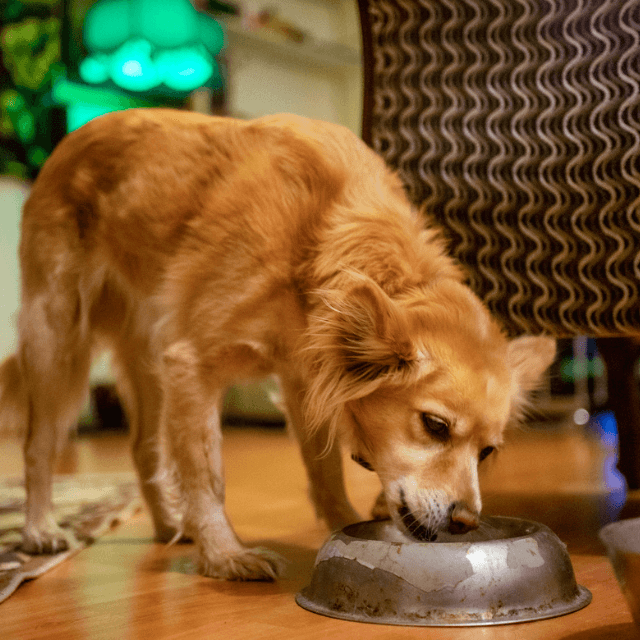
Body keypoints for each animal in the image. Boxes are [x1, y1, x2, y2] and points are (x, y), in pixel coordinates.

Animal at [0, 109, 556, 580]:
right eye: (435, 426)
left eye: (487, 452)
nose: (466, 522)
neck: (315, 237)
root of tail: (77, 135)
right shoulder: (193, 365)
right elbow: (208, 475)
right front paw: (226, 557)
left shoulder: (303, 378)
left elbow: (324, 470)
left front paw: (343, 525)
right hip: (58, 340)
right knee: (38, 445)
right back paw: (39, 529)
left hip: (149, 358)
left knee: (143, 449)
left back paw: (170, 526)